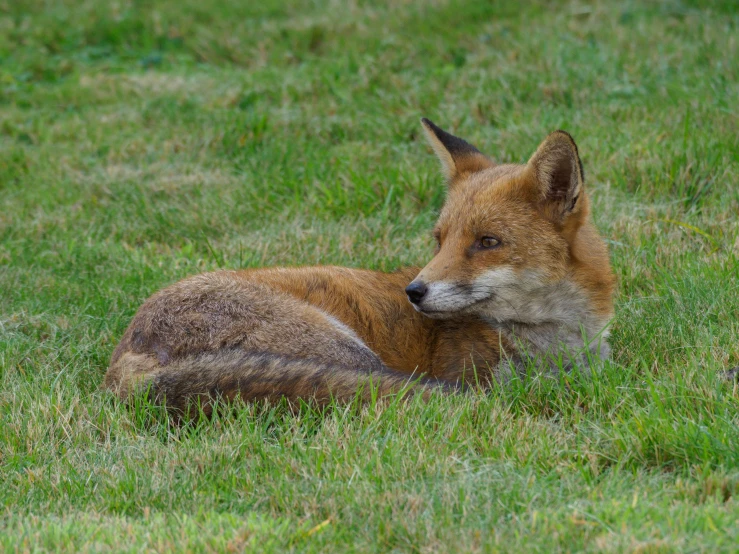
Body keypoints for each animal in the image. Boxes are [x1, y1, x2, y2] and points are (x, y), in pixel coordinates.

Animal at [101, 118, 616, 412]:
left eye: (487, 242)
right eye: (440, 240)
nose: (414, 292)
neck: (558, 346)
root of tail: (127, 357)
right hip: (349, 352)